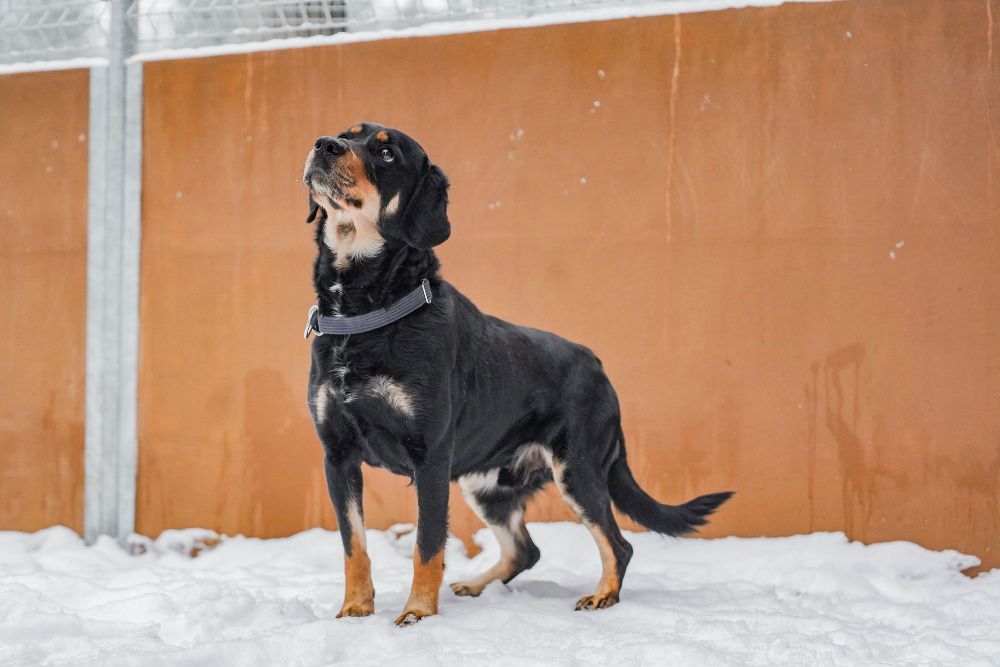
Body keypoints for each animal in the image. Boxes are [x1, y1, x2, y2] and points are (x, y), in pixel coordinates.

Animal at [300, 121, 732, 628]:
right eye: (348, 133)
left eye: (386, 152)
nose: (324, 144)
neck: (364, 312)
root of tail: (599, 367)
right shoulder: (338, 455)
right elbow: (355, 547)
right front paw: (355, 611)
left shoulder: (431, 458)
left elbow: (427, 546)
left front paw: (417, 615)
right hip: (488, 484)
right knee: (526, 550)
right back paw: (476, 585)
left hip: (577, 469)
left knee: (618, 544)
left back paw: (602, 596)